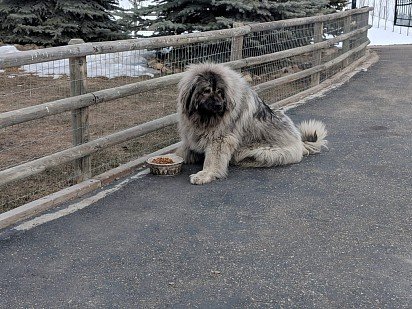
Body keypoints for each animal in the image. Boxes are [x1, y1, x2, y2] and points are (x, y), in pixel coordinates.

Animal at [177, 62, 328, 183]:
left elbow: (212, 160)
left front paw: (205, 174)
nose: (220, 105)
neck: (203, 118)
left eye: (220, 92)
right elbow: (184, 151)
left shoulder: (220, 139)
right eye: (206, 91)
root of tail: (301, 142)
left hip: (266, 152)